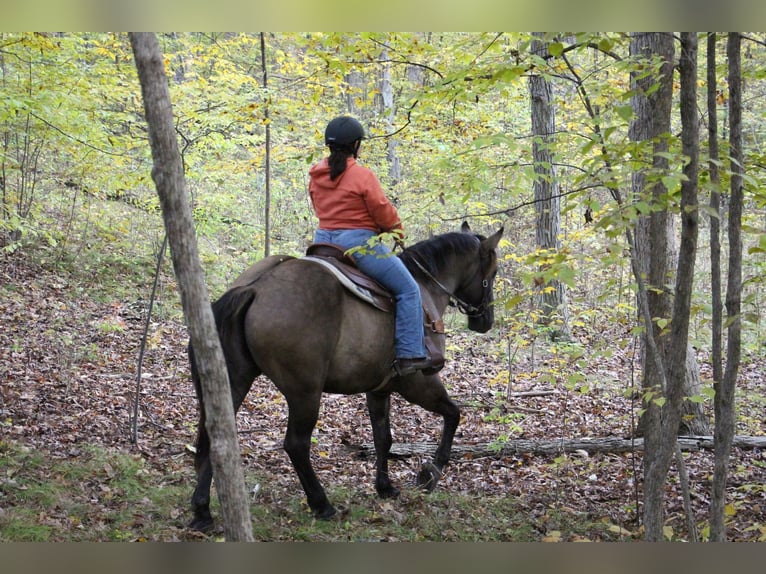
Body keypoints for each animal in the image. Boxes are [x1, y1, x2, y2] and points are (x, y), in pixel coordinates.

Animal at [189, 220, 508, 532]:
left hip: (234, 380)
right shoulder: (418, 382)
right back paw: (321, 504)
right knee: (296, 444)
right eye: (492, 272)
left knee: (216, 436)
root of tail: (255, 289)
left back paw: (202, 511)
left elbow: (383, 438)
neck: (426, 288)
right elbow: (453, 414)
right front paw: (431, 473)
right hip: (305, 392)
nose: (485, 320)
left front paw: (385, 486)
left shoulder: (379, 389)